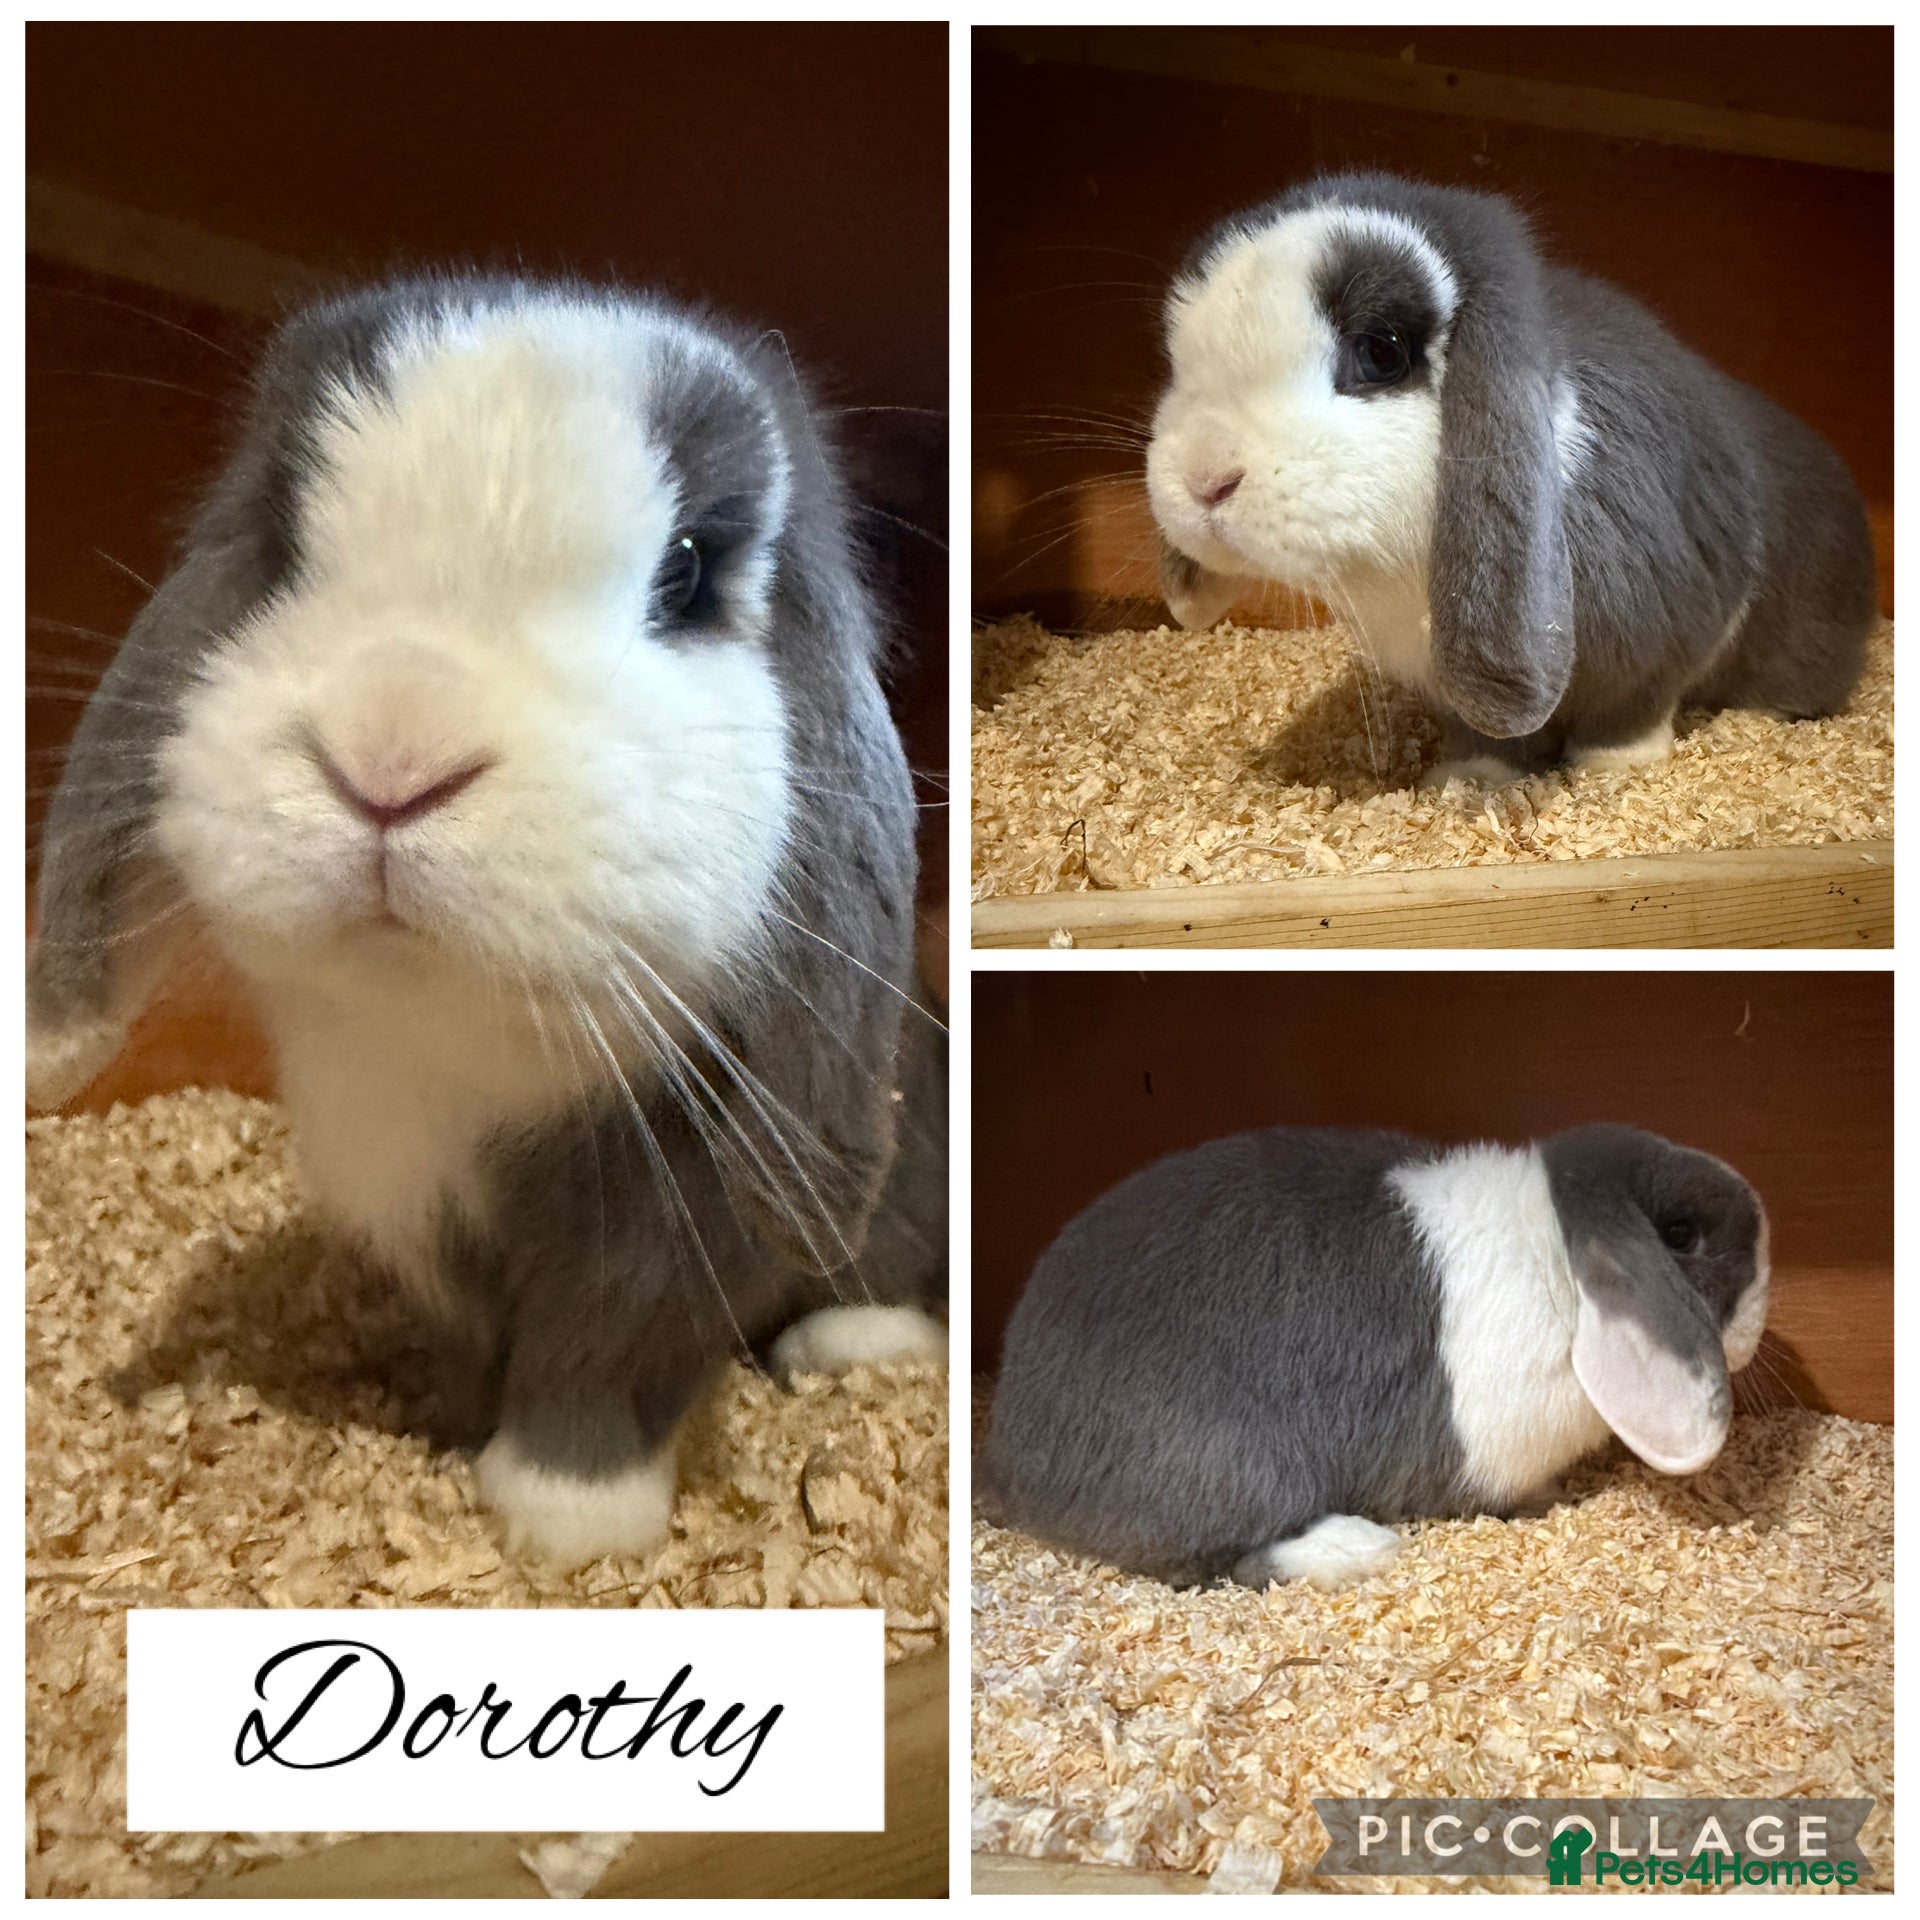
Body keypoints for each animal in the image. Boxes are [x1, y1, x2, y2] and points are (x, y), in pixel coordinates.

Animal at [27, 273, 948, 1568]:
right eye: (282, 539)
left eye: (686, 574)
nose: (391, 757)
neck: (436, 1041)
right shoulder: (416, 1224)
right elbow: (473, 1346)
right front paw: (446, 1433)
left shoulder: (668, 1227)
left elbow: (606, 1349)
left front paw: (566, 1521)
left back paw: (849, 1344)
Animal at [983, 1124, 1769, 1588]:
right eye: (1681, 1234)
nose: (1764, 1309)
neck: (1552, 1258)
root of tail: (1014, 1457)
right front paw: (1549, 1501)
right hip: (1226, 1464)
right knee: (1225, 1555)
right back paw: (1360, 1548)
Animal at [1145, 172, 1878, 780]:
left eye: (1381, 351)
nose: (1206, 479)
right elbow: (1492, 740)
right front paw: (1472, 782)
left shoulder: (1659, 642)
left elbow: (1629, 713)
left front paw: (1613, 770)